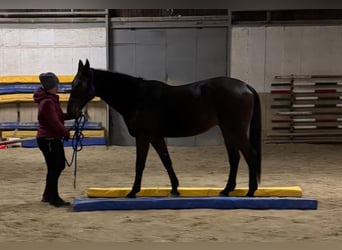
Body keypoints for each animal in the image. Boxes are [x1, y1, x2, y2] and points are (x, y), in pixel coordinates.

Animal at [67, 59, 262, 198]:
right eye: (72, 83)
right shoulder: (156, 137)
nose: (71, 111)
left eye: (80, 84)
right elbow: (166, 161)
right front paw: (175, 188)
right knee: (235, 158)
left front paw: (133, 191)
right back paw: (227, 190)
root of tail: (245, 86)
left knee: (250, 155)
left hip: (235, 131)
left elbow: (140, 164)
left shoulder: (143, 137)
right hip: (228, 132)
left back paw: (250, 191)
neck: (136, 97)